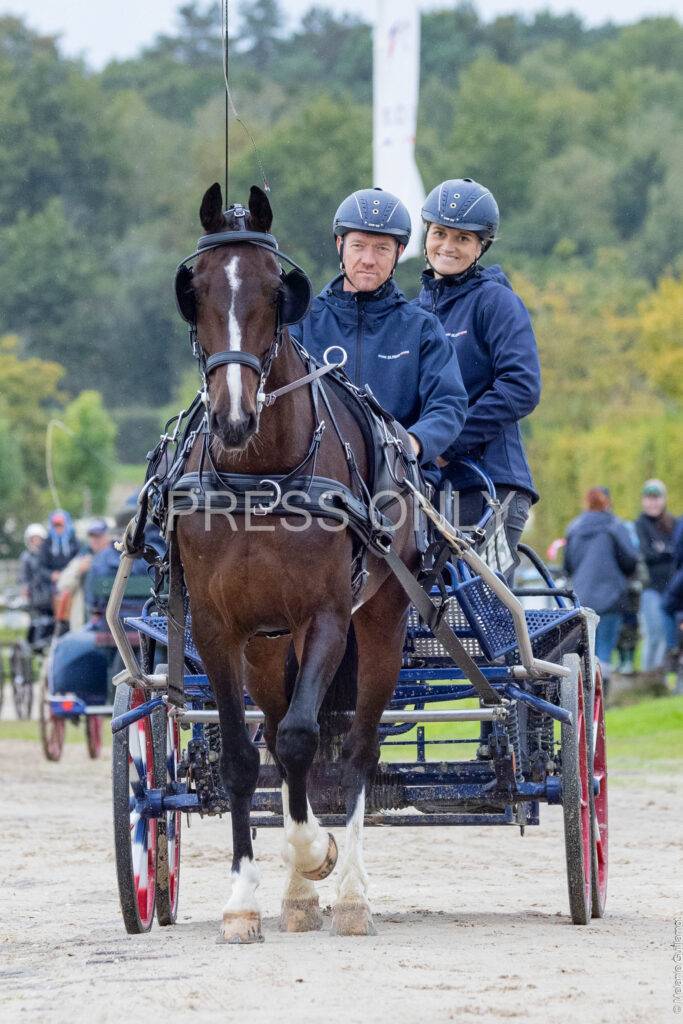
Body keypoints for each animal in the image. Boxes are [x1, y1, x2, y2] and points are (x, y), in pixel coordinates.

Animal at [175, 182, 420, 942]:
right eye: (194, 290)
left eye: (271, 292)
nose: (232, 418)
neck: (260, 473)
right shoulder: (217, 626)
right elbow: (242, 755)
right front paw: (243, 899)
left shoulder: (326, 619)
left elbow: (304, 740)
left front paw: (319, 854)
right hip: (266, 647)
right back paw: (295, 896)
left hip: (381, 624)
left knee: (358, 747)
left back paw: (349, 893)